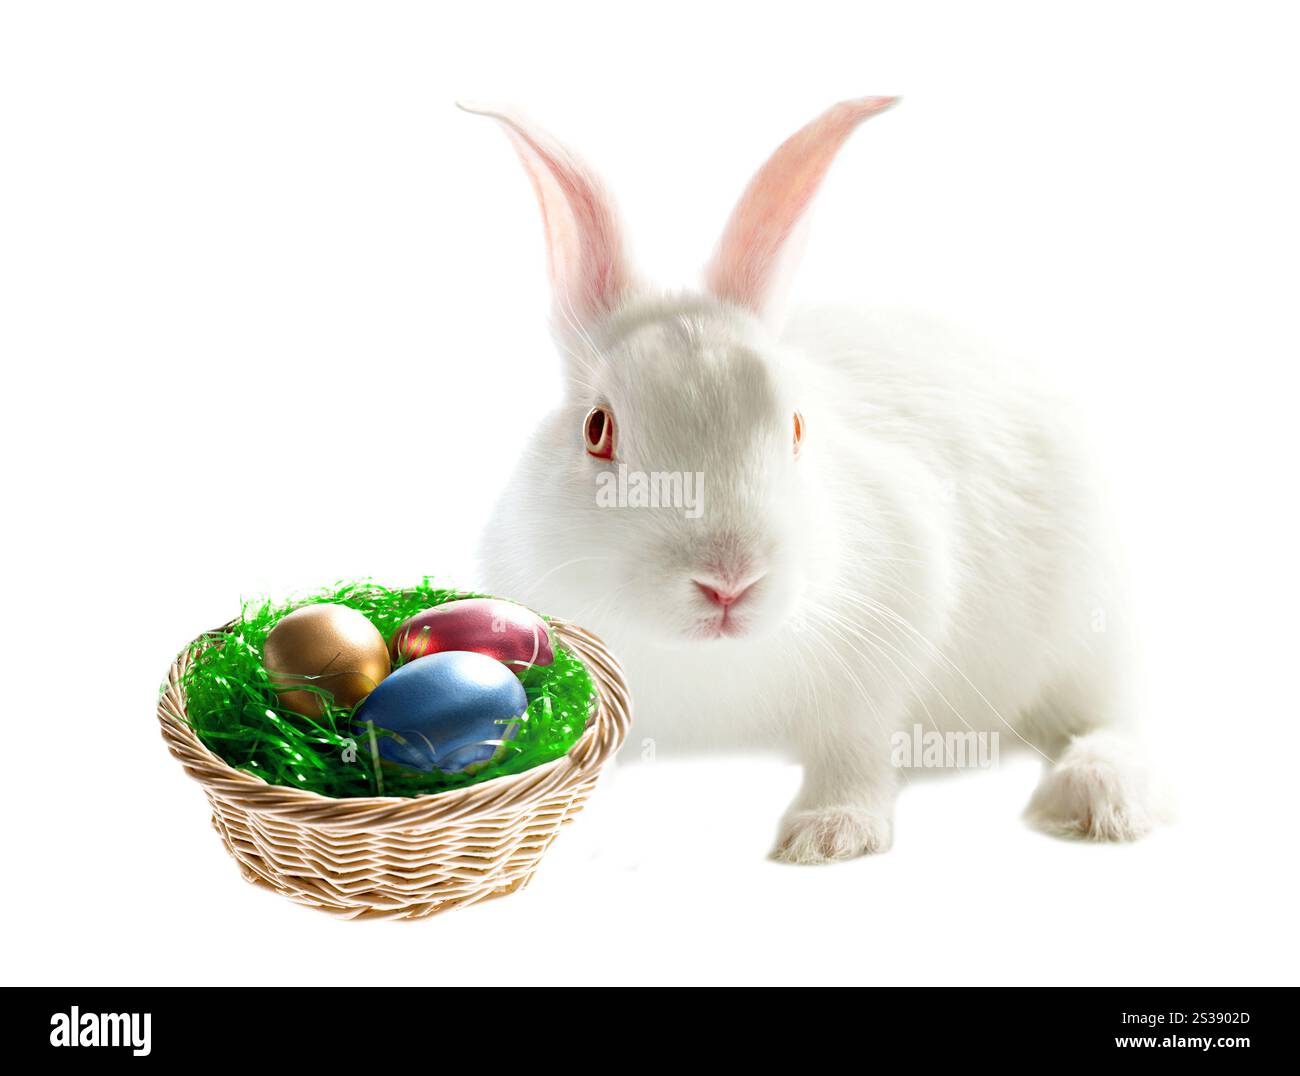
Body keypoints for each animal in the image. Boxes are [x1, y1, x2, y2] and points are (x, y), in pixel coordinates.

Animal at [464, 96, 1160, 863]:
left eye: (797, 425)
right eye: (597, 428)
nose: (728, 582)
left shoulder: (883, 646)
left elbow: (851, 748)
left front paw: (830, 835)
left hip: (1089, 636)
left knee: (1112, 721)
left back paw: (1097, 799)